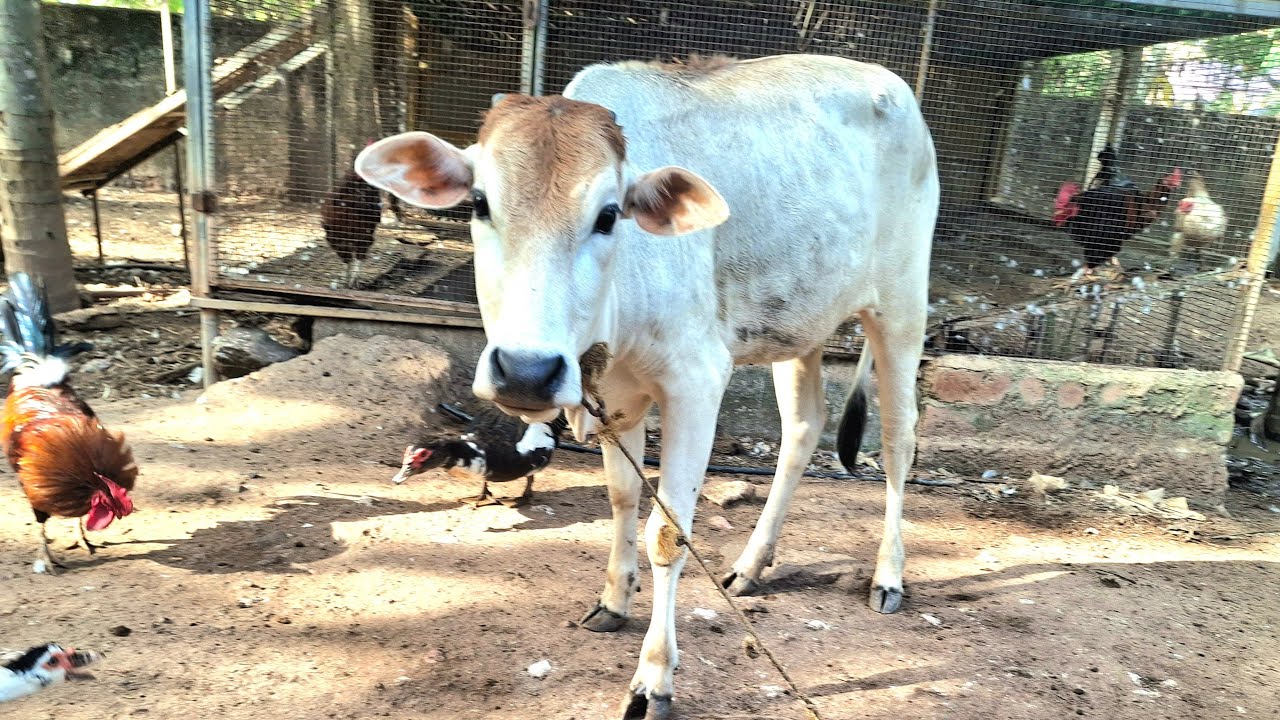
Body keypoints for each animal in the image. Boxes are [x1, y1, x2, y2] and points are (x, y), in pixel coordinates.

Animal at [355, 53, 939, 719]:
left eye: (609, 215)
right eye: (479, 203)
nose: (527, 370)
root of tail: (891, 83)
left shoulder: (695, 385)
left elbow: (668, 532)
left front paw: (654, 677)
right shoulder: (616, 398)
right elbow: (622, 499)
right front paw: (614, 599)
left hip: (901, 308)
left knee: (897, 441)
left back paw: (887, 576)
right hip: (798, 327)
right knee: (802, 427)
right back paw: (751, 566)